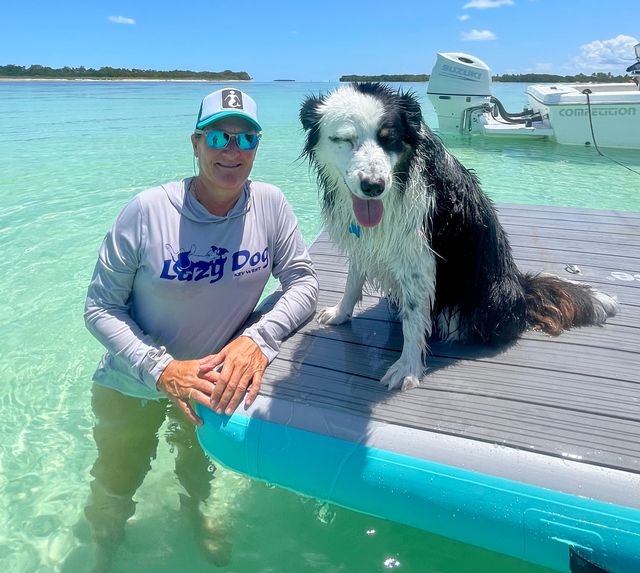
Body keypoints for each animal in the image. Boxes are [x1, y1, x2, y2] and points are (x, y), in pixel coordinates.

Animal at [302, 82, 620, 392]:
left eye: (388, 138)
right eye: (344, 139)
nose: (373, 186)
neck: (400, 181)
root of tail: (521, 287)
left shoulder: (418, 258)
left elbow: (414, 319)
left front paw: (408, 367)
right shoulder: (364, 242)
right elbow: (352, 282)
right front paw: (340, 313)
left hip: (492, 298)